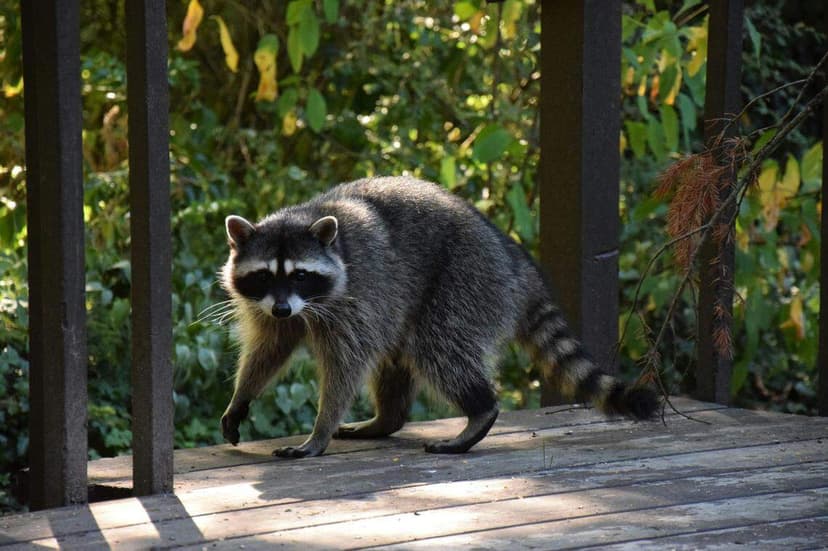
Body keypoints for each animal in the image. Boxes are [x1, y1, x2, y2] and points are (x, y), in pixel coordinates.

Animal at [219, 176, 658, 458]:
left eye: (300, 275)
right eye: (264, 276)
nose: (282, 308)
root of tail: (513, 259)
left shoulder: (357, 297)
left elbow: (345, 366)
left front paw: (320, 429)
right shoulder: (274, 307)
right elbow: (269, 349)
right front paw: (242, 396)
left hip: (466, 280)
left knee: (438, 348)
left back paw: (480, 410)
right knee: (398, 358)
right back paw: (387, 419)